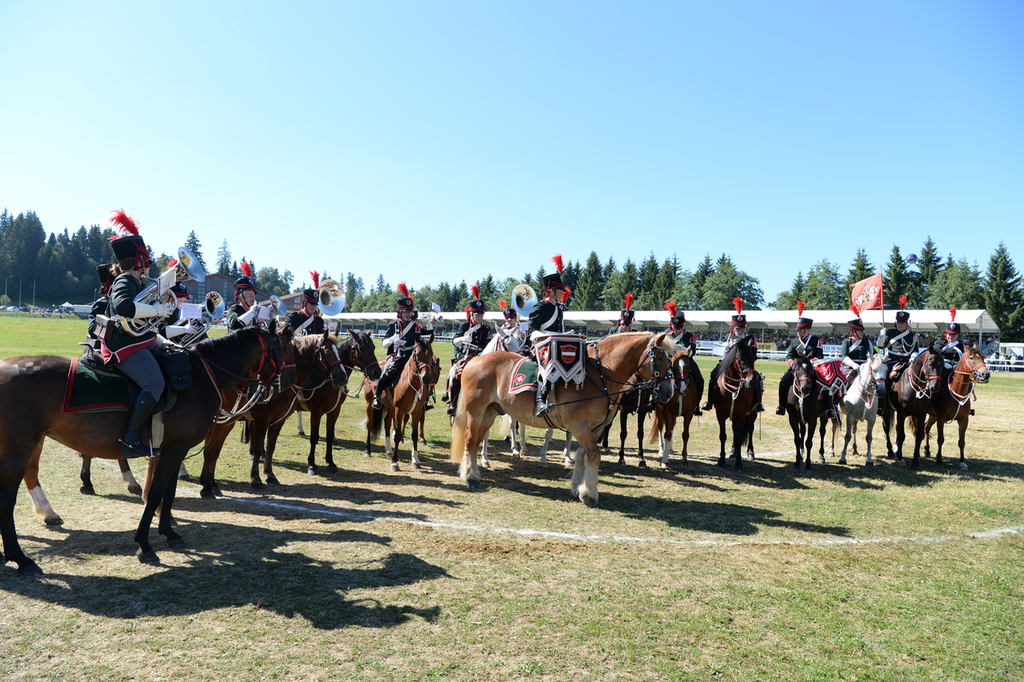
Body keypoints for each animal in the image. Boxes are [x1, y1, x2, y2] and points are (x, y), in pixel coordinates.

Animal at [2, 321, 294, 569]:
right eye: (281, 347)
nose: (285, 383)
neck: (201, 376)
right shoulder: (174, 450)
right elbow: (156, 493)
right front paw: (144, 544)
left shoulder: (175, 449)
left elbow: (169, 492)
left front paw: (169, 532)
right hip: (20, 446)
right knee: (9, 496)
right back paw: (20, 557)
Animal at [197, 327, 378, 493]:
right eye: (327, 353)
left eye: (374, 347)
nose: (376, 372)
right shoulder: (311, 412)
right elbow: (313, 438)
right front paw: (310, 466)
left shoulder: (329, 411)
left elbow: (273, 445)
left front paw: (330, 463)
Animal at [364, 337, 436, 471]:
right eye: (417, 354)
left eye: (431, 354)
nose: (426, 378)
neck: (413, 384)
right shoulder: (400, 411)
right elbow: (397, 435)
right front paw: (395, 463)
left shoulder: (417, 411)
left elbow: (414, 435)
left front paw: (415, 460)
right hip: (370, 402)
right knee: (370, 424)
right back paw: (367, 451)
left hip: (391, 407)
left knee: (387, 424)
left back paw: (389, 451)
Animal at [448, 331, 671, 501]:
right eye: (660, 358)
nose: (668, 393)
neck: (599, 374)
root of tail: (474, 360)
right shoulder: (579, 425)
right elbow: (594, 455)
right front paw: (590, 493)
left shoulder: (594, 427)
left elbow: (583, 456)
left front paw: (578, 488)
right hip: (476, 412)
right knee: (470, 440)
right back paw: (470, 477)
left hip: (489, 412)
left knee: (476, 440)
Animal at [708, 337, 765, 471]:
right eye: (741, 359)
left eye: (754, 358)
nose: (753, 381)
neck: (733, 388)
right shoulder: (720, 414)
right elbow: (723, 436)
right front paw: (721, 460)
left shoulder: (742, 415)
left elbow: (739, 438)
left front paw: (739, 463)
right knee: (734, 430)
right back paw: (733, 452)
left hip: (752, 414)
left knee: (750, 430)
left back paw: (750, 452)